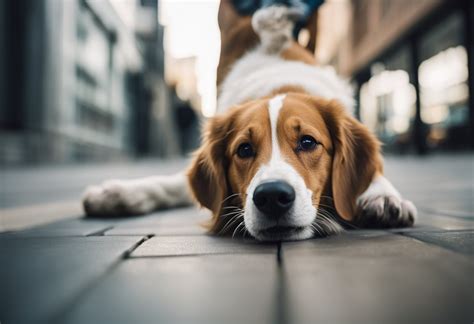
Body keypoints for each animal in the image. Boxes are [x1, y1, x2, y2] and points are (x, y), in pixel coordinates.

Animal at [83, 2, 416, 240]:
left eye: (308, 142)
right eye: (243, 149)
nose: (272, 197)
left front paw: (382, 196)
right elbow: (170, 184)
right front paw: (117, 194)